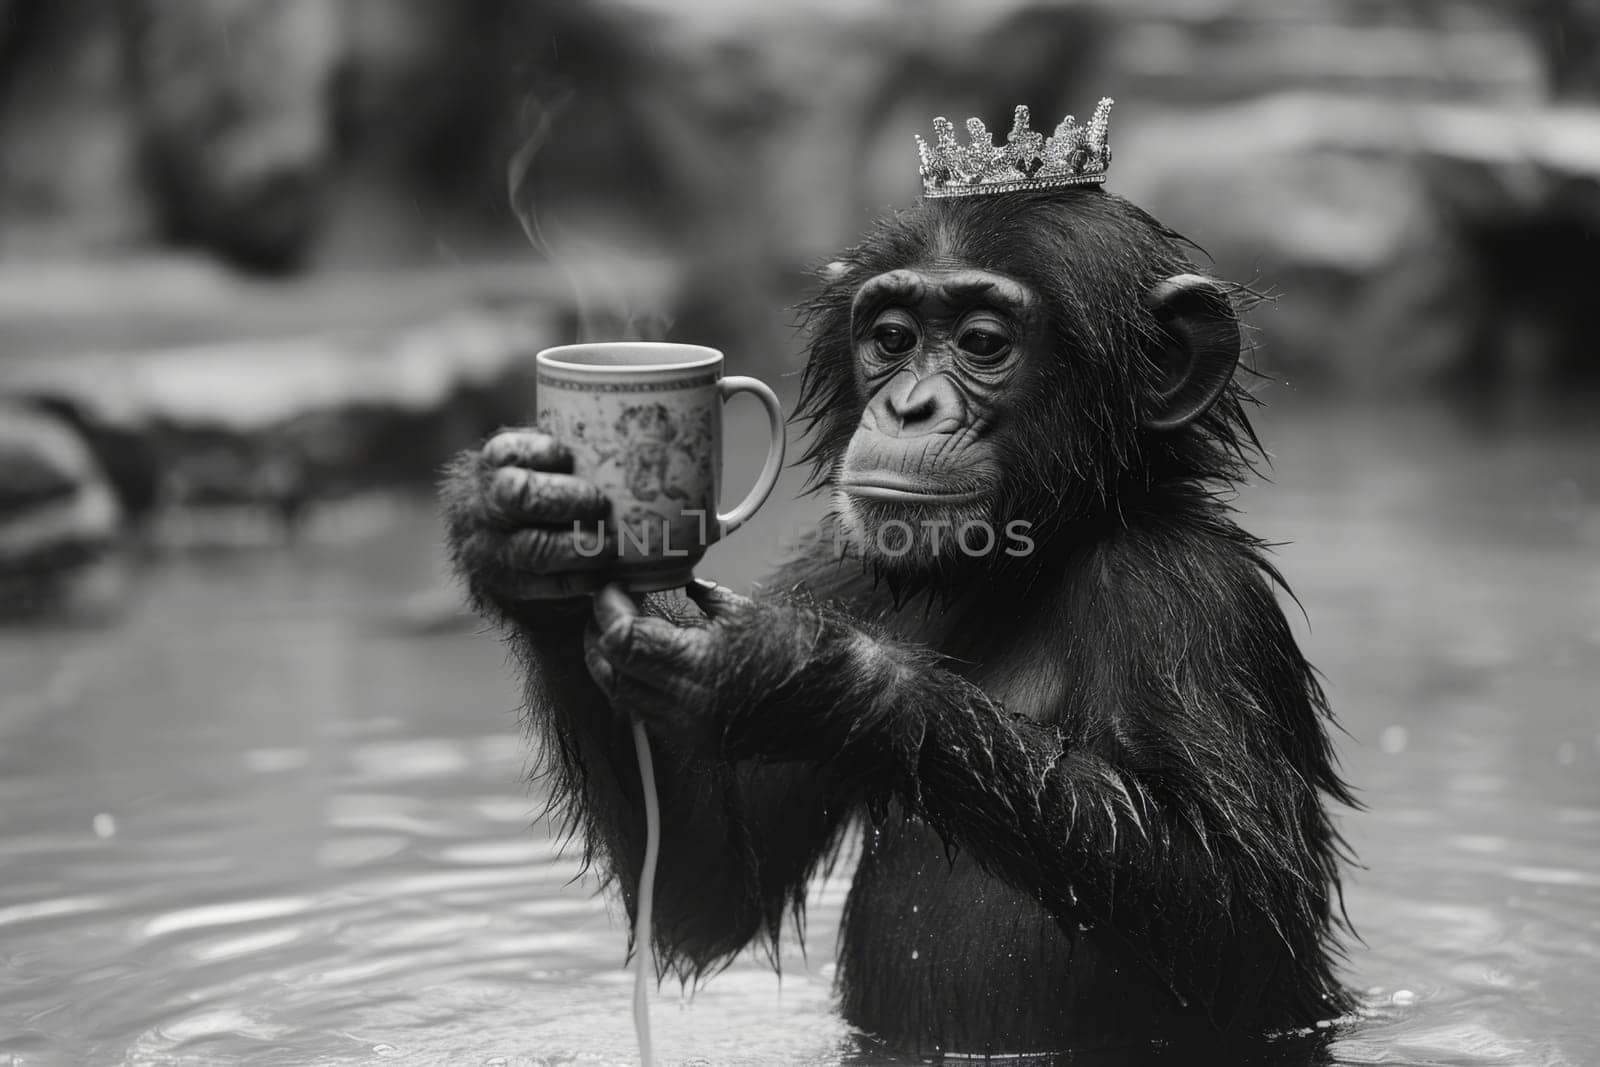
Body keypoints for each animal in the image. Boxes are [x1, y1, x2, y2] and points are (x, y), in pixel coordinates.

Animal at [444, 103, 1356, 1055]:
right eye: (892, 338)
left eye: (983, 343)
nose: (910, 405)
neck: (1032, 565)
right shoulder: (839, 565)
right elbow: (709, 897)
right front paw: (519, 533)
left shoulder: (1190, 599)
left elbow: (1233, 910)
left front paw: (798, 673)